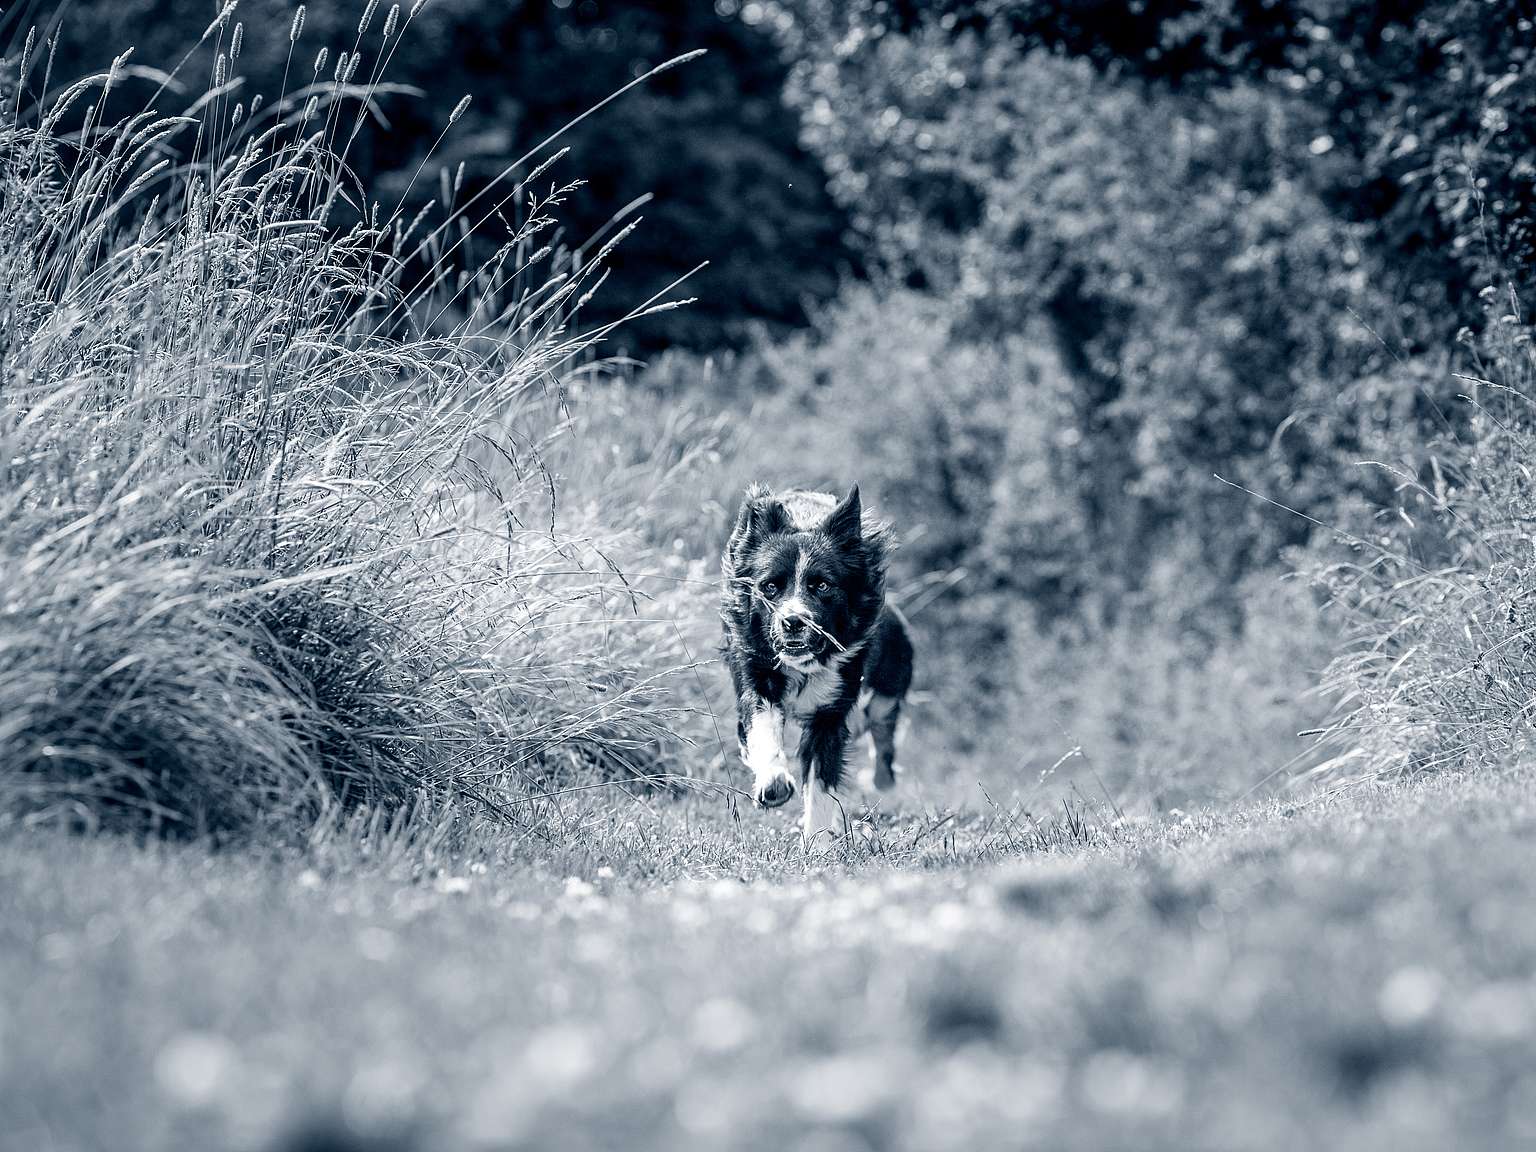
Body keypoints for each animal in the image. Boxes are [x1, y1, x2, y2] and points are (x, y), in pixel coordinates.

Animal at [718, 482, 909, 841]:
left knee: (883, 738)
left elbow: (821, 784)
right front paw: (774, 784)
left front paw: (818, 842)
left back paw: (881, 781)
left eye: (822, 585)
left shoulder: (831, 711)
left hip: (888, 689)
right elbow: (762, 727)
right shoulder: (756, 672)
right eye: (770, 586)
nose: (793, 621)